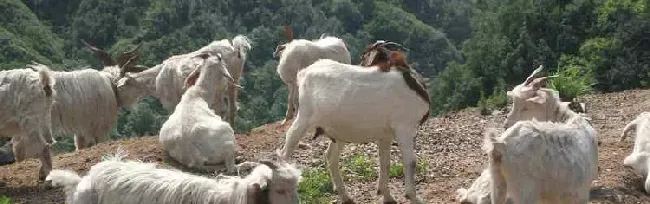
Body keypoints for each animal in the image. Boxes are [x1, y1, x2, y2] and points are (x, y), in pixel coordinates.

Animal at [276, 53, 428, 203]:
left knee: (331, 157)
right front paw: (413, 197)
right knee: (285, 151)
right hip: (304, 117)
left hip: (338, 132)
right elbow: (411, 162)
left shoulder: (387, 134)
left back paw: (345, 196)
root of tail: (304, 72)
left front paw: (387, 196)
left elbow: (385, 162)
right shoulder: (404, 126)